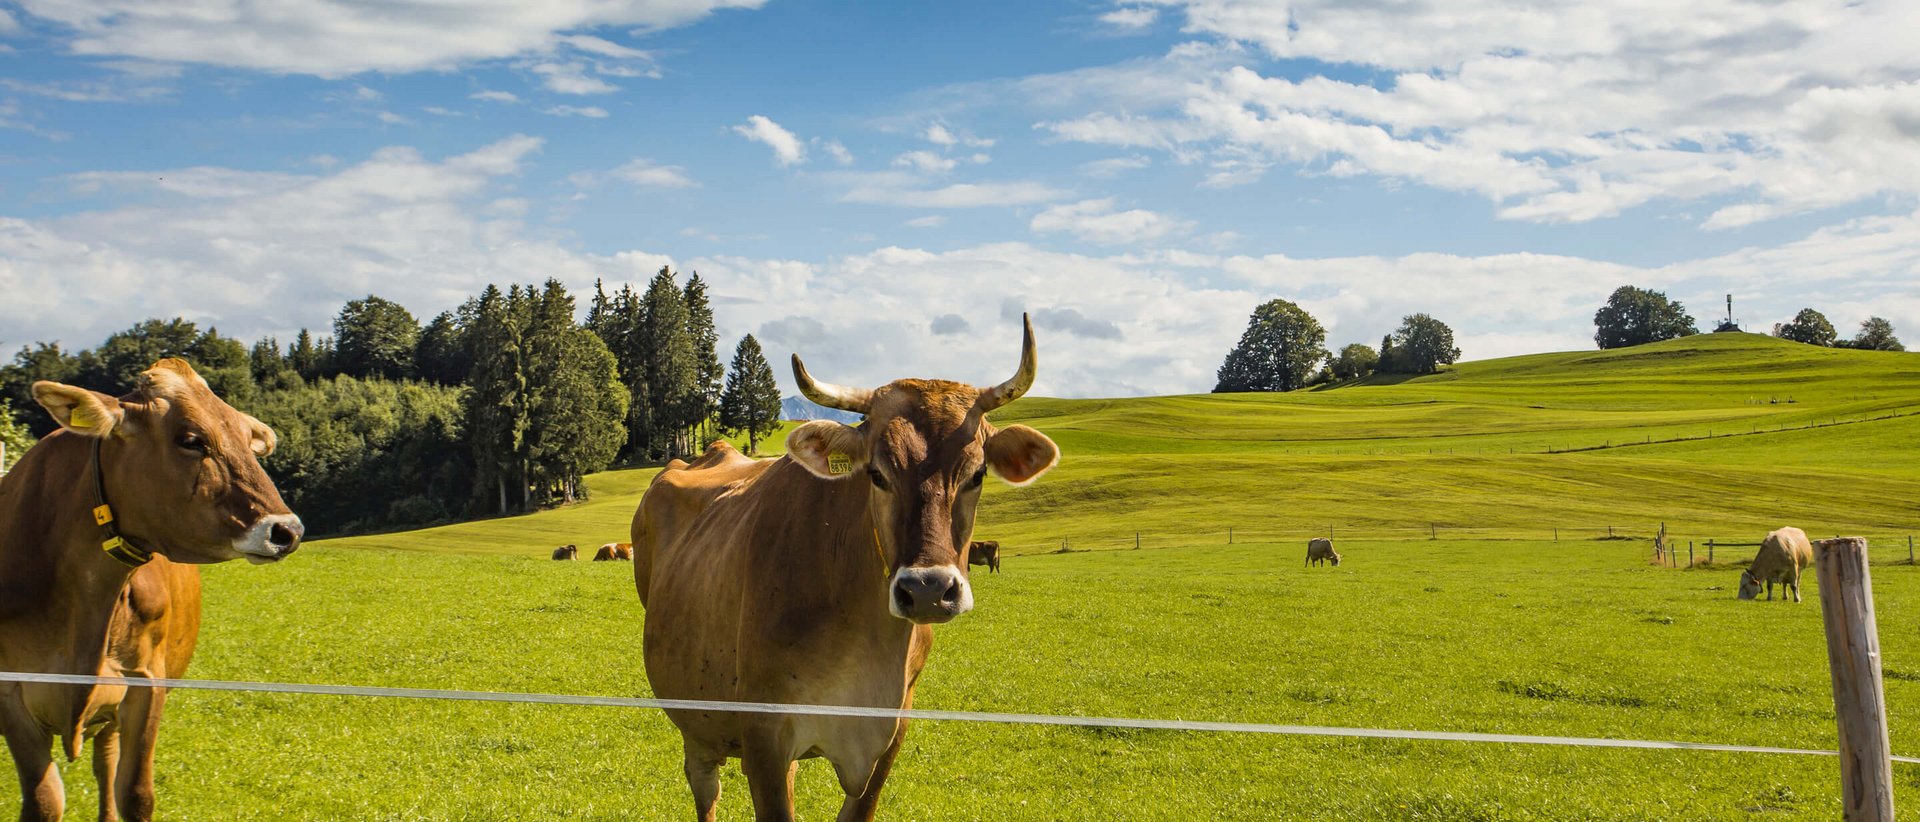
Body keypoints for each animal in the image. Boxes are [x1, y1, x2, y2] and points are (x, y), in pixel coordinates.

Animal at [0, 359, 299, 822]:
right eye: (191, 440)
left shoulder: (146, 683)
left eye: (246, 437)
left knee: (106, 763)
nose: (287, 530)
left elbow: (135, 794)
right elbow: (45, 800)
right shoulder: (11, 692)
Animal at [629, 314, 1059, 822]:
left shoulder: (892, 730)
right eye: (876, 473)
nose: (928, 590)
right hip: (695, 720)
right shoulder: (764, 734)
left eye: (977, 474)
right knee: (704, 785)